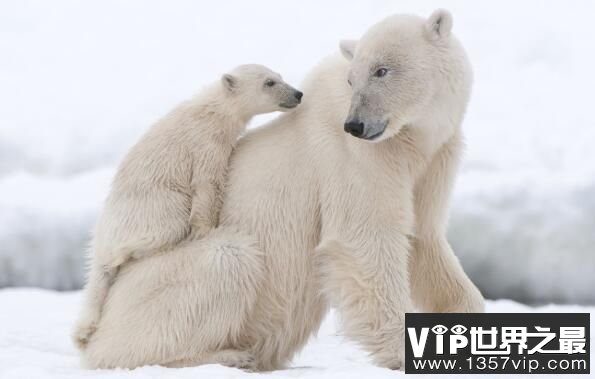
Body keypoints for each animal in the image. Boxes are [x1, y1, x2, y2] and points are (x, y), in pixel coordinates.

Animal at [84, 10, 484, 372]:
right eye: (352, 78)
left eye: (381, 70)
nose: (355, 125)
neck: (411, 139)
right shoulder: (356, 157)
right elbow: (364, 240)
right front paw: (404, 350)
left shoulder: (434, 158)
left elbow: (424, 239)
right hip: (160, 285)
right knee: (225, 260)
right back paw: (227, 355)